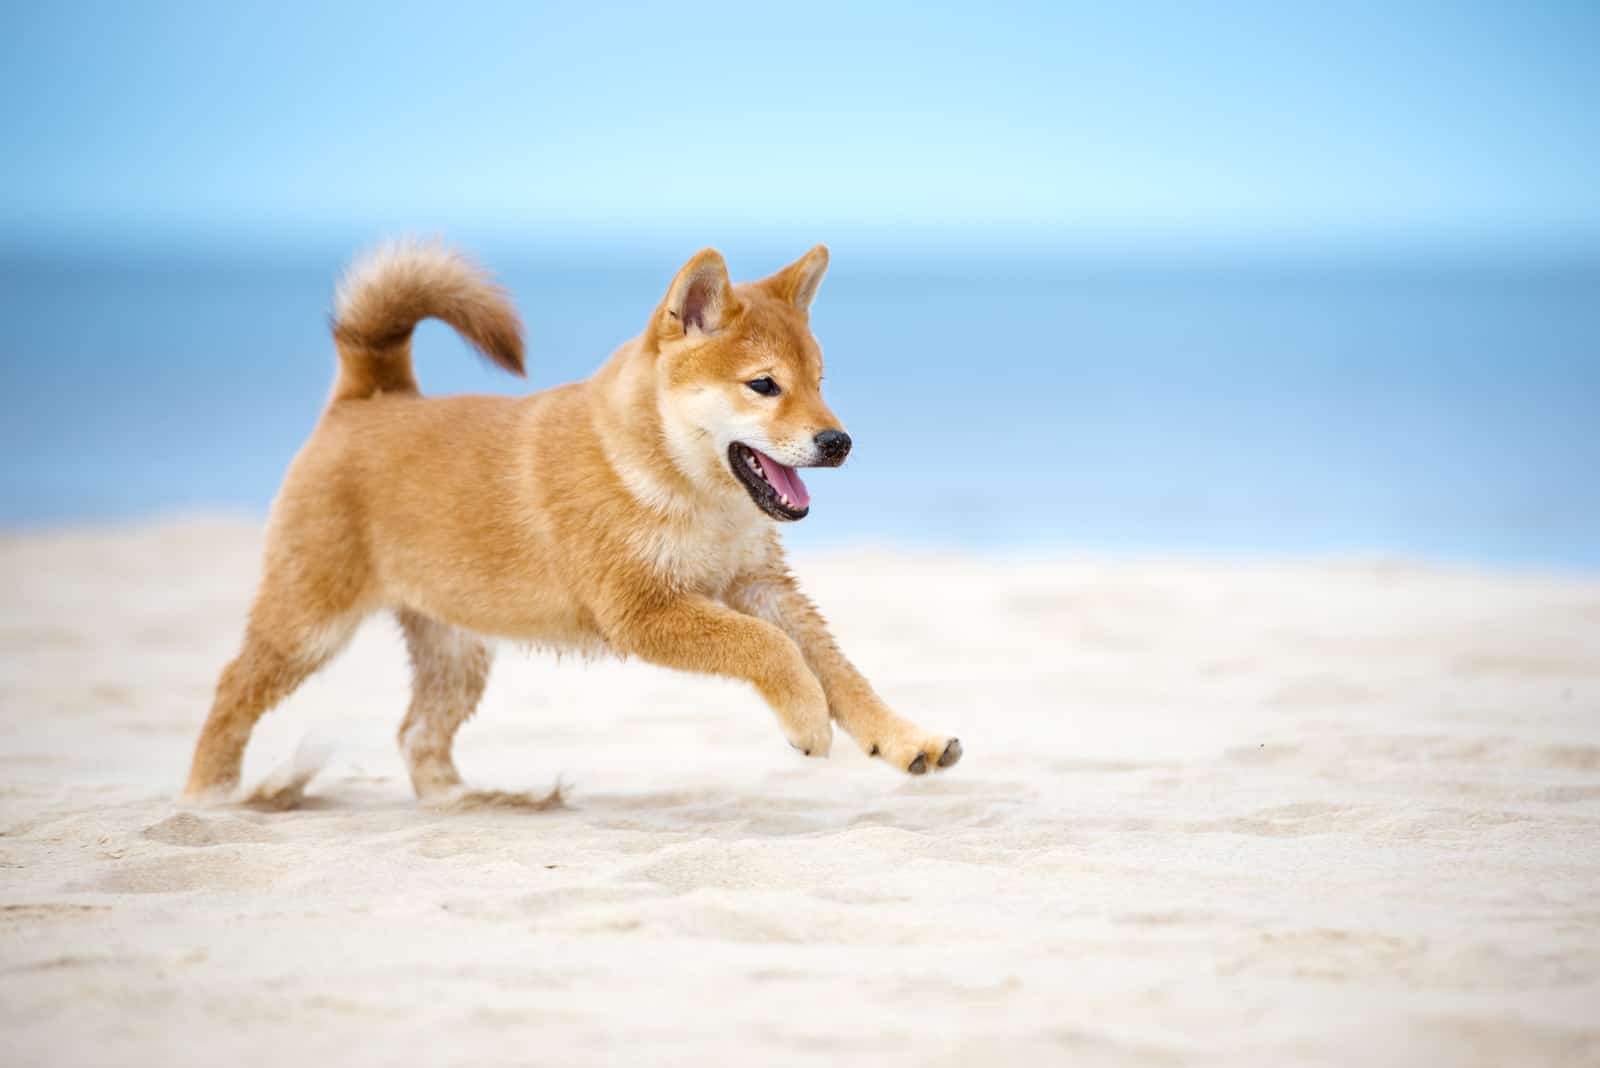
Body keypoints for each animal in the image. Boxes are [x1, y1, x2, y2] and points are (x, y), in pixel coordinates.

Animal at [184, 241, 960, 799]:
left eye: (821, 382)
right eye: (763, 385)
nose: (838, 441)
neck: (686, 491)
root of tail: (365, 399)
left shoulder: (761, 588)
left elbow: (838, 670)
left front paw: (903, 740)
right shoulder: (642, 610)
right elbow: (769, 652)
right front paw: (804, 719)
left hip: (457, 651)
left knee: (415, 734)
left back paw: (468, 804)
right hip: (309, 625)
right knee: (231, 691)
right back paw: (211, 796)